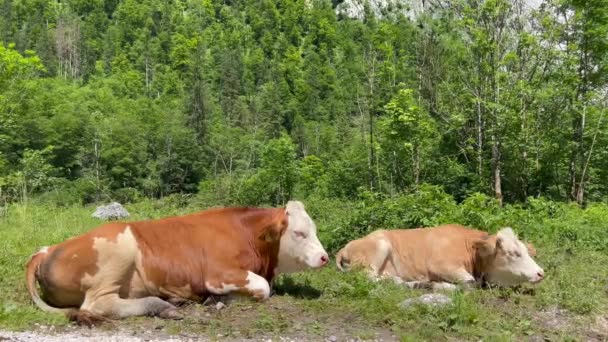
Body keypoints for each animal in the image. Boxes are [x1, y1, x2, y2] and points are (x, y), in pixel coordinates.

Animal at [26, 200, 328, 324]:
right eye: (299, 233)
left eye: (313, 228)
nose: (324, 257)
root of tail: (47, 249)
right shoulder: (219, 274)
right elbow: (263, 288)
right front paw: (221, 299)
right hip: (117, 254)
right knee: (98, 305)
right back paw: (160, 306)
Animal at [334, 224, 544, 292]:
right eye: (514, 253)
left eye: (526, 251)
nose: (541, 273)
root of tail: (346, 246)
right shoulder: (440, 265)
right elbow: (469, 284)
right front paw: (437, 285)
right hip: (379, 247)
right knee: (368, 279)